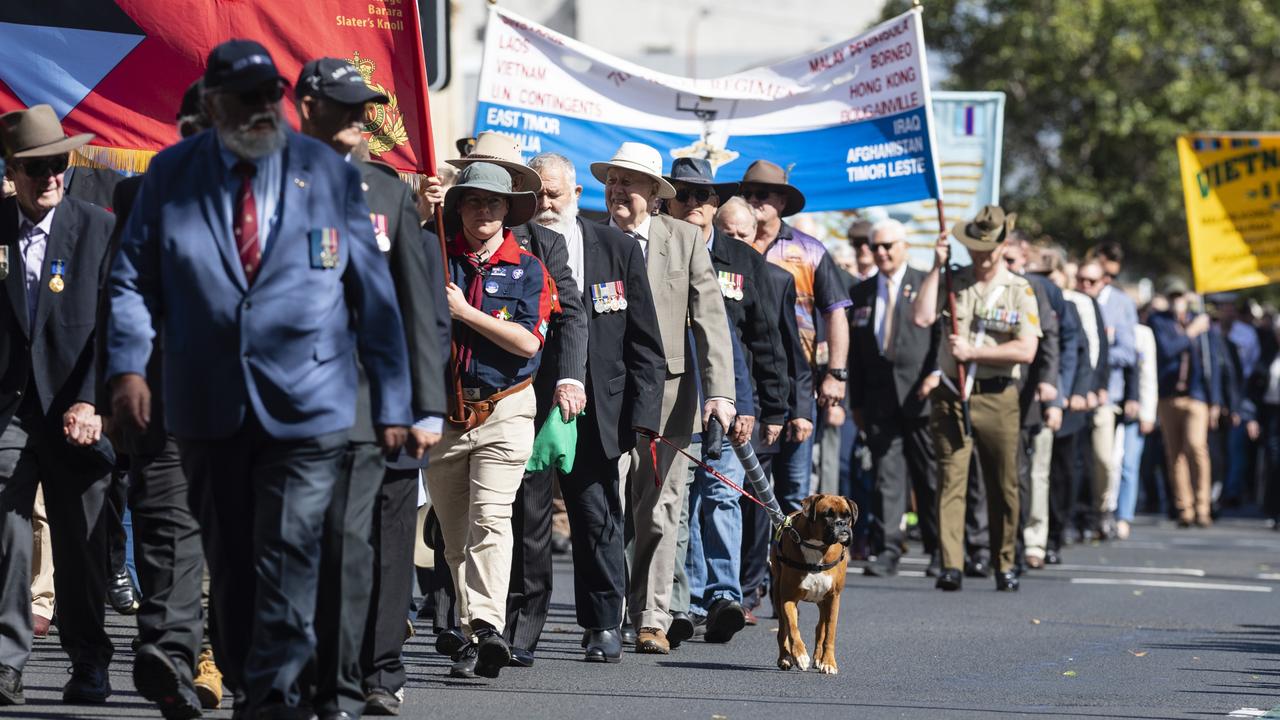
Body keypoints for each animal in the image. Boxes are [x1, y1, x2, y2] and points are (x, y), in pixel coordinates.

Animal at [768, 491, 849, 671]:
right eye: (827, 514)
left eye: (848, 516)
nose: (842, 523)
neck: (817, 546)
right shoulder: (788, 599)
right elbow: (793, 628)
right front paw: (800, 655)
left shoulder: (833, 599)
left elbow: (830, 633)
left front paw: (828, 662)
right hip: (777, 594)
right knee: (783, 628)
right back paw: (785, 657)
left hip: (824, 602)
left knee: (821, 628)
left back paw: (819, 658)